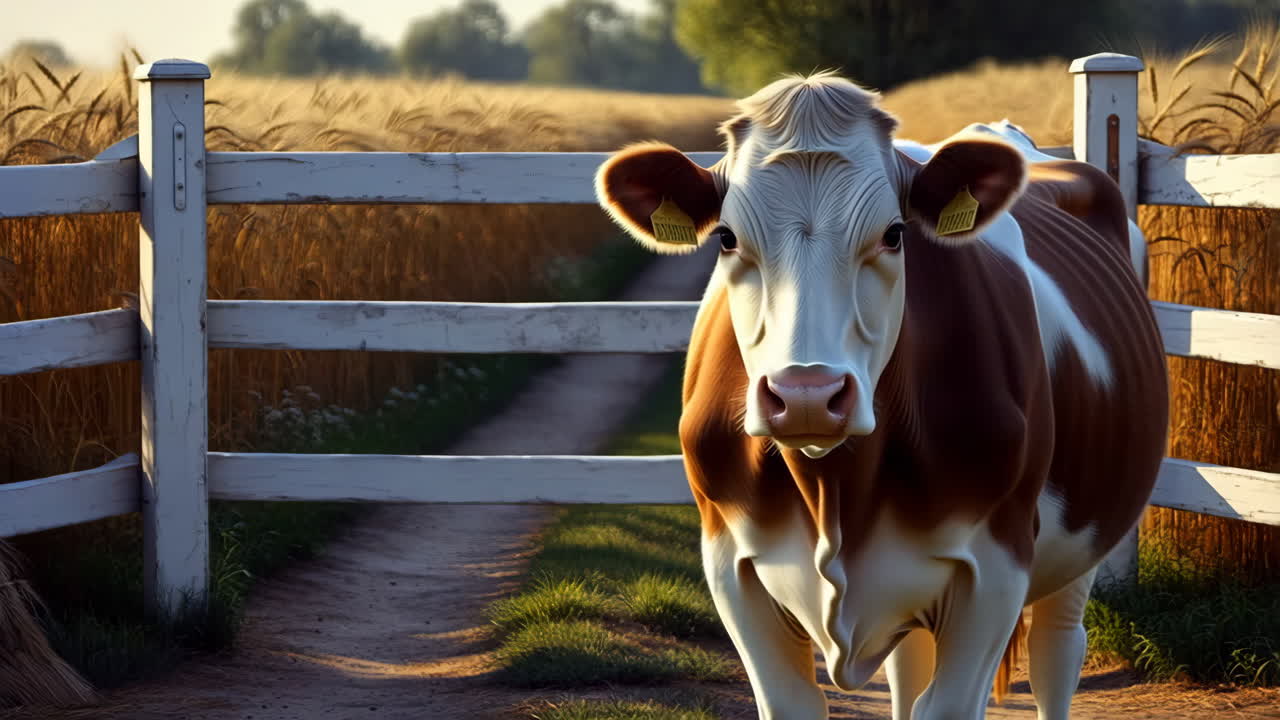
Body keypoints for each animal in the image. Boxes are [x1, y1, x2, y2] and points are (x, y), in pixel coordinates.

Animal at [594, 72, 1168, 720]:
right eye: (725, 237)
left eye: (895, 234)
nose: (807, 394)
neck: (834, 492)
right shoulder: (728, 560)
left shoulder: (996, 569)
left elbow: (950, 704)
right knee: (908, 671)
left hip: (1084, 543)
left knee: (1056, 653)